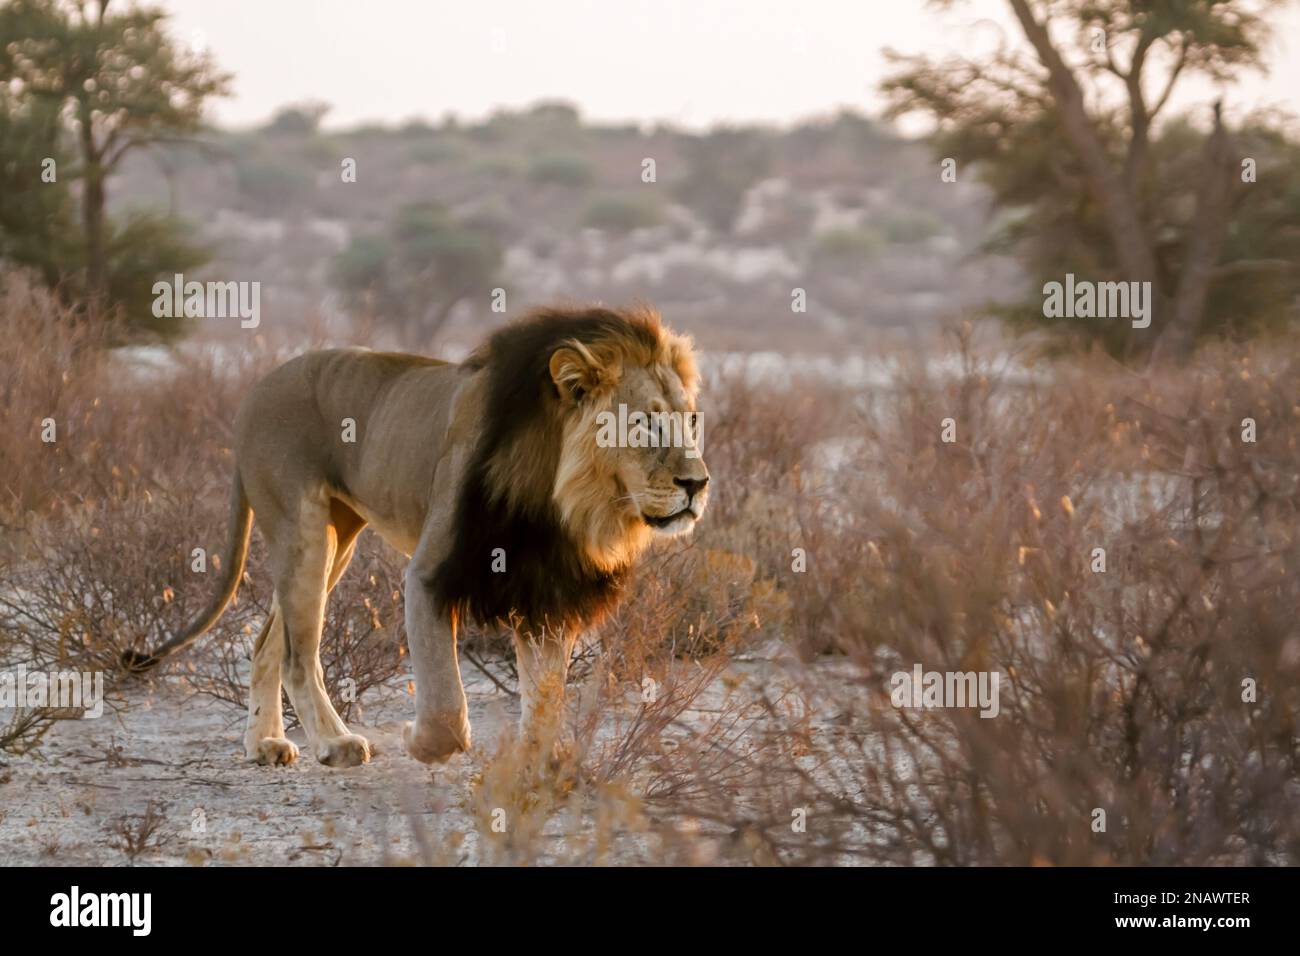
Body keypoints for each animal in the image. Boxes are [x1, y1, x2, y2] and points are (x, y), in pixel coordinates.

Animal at [124, 305, 710, 768]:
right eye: (644, 424)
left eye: (691, 422)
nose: (698, 483)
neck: (565, 503)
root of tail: (253, 392)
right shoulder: (430, 572)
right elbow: (447, 702)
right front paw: (419, 742)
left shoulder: (543, 590)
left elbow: (546, 697)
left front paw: (535, 765)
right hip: (304, 531)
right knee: (296, 654)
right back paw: (335, 744)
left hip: (336, 539)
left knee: (268, 640)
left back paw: (264, 744)